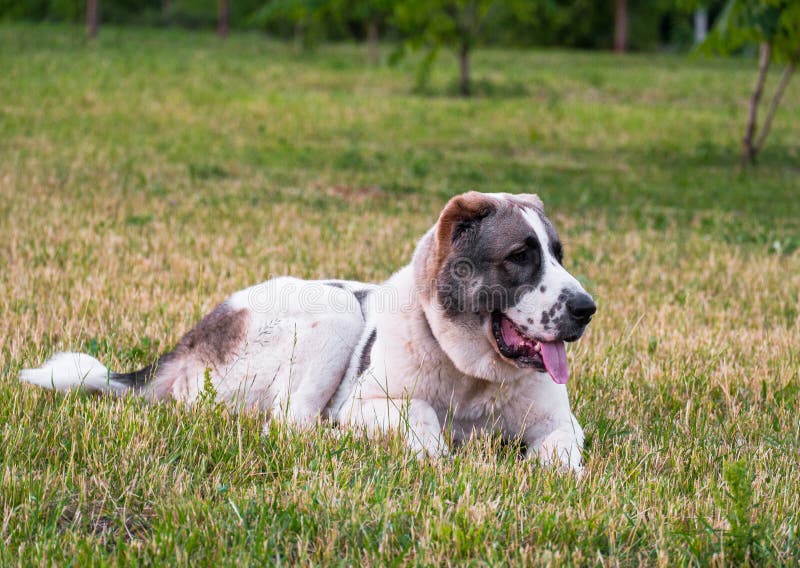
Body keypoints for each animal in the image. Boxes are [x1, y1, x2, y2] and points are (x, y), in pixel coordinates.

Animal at [20, 192, 592, 474]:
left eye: (558, 254)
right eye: (519, 256)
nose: (587, 309)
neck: (474, 375)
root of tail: (188, 342)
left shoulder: (560, 423)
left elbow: (564, 452)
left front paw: (550, 467)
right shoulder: (369, 403)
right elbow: (423, 421)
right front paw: (439, 448)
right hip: (335, 311)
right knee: (288, 424)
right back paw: (330, 437)